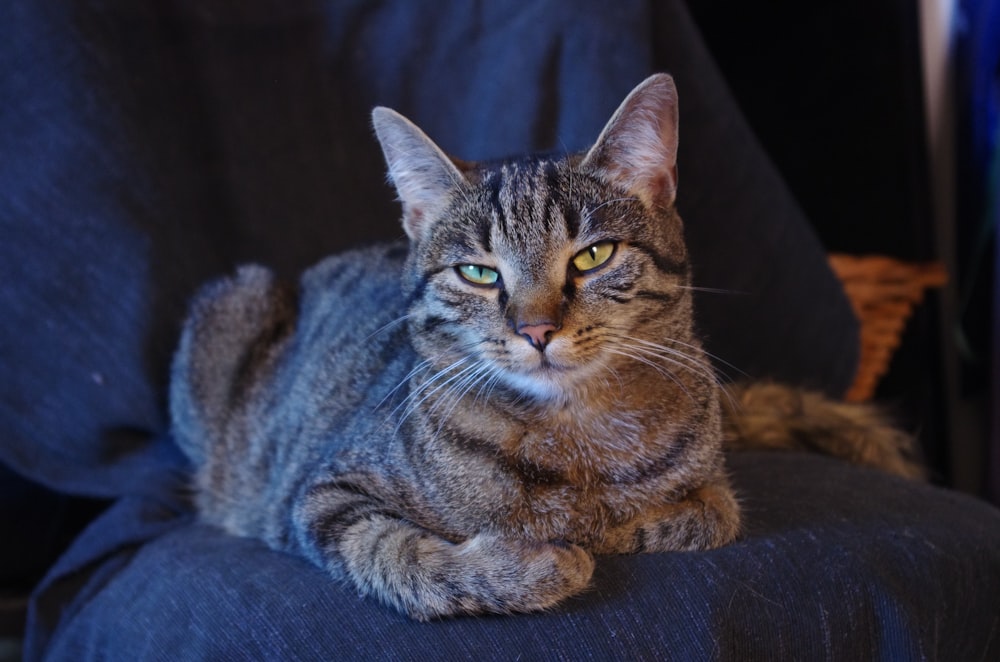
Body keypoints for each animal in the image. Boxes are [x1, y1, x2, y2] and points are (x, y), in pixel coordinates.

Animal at [170, 74, 920, 624]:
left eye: (592, 256)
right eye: (478, 272)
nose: (535, 329)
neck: (575, 435)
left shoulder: (712, 489)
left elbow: (703, 516)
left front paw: (602, 532)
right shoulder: (324, 494)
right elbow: (401, 554)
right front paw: (538, 562)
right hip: (236, 304)